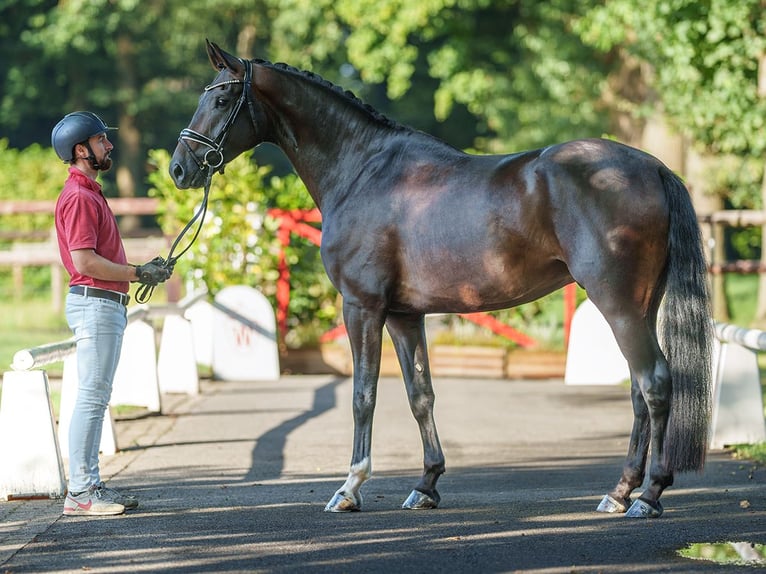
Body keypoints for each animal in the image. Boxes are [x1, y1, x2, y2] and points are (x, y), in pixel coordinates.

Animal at [171, 39, 716, 516]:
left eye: (221, 98)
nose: (179, 169)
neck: (363, 170)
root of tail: (652, 168)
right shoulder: (404, 315)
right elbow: (421, 395)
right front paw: (426, 485)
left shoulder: (362, 306)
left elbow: (363, 395)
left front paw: (349, 488)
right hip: (639, 305)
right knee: (640, 391)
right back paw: (620, 492)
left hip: (617, 303)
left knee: (655, 382)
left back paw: (648, 496)